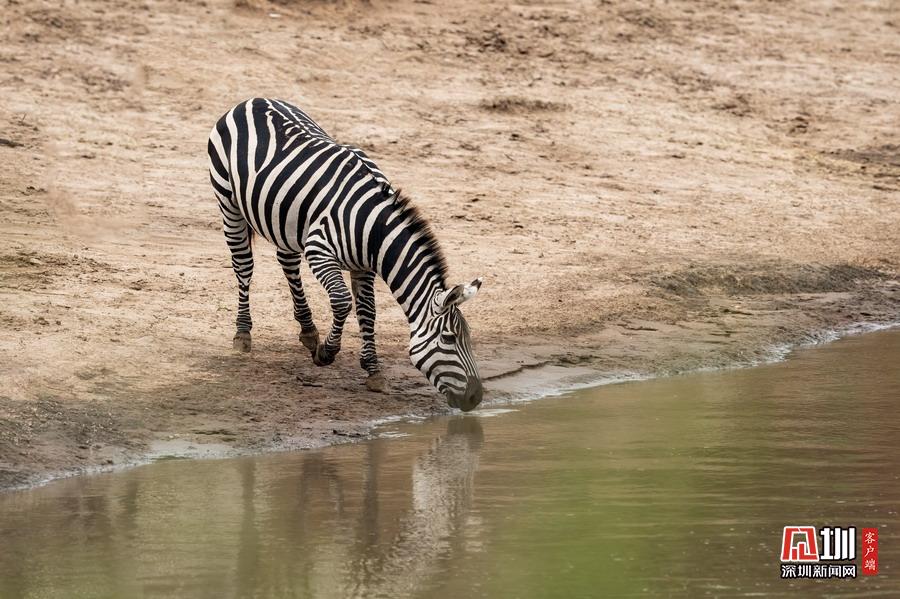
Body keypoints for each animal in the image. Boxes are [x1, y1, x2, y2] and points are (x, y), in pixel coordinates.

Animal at [208, 99, 486, 412]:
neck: (374, 230)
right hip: (227, 200)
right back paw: (243, 333)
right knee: (243, 265)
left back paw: (308, 330)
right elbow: (342, 302)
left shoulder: (363, 266)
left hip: (286, 220)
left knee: (287, 261)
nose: (476, 398)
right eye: (449, 338)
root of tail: (253, 100)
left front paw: (373, 371)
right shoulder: (319, 251)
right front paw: (326, 353)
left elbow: (368, 311)